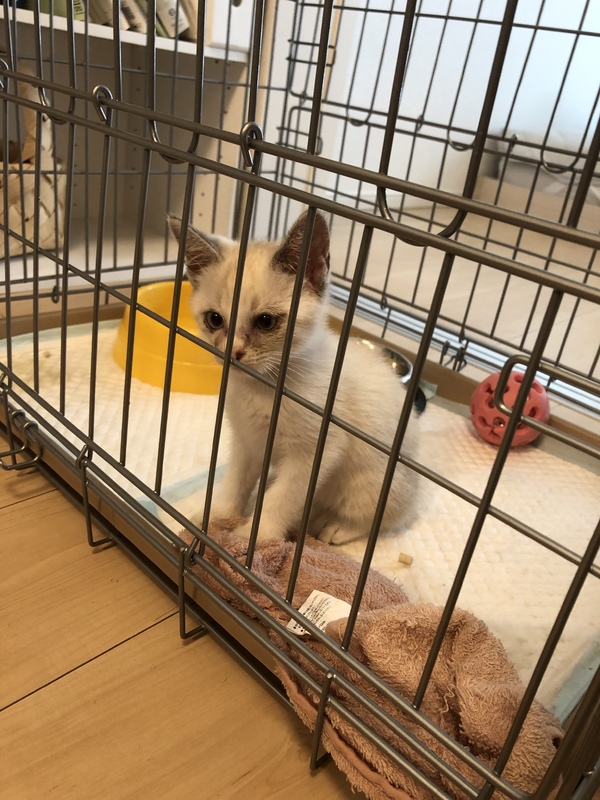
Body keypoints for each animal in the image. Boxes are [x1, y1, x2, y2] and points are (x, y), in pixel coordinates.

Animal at [168, 210, 418, 545]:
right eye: (214, 319)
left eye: (265, 321)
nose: (232, 353)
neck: (263, 387)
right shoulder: (246, 439)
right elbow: (236, 480)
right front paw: (219, 515)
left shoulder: (314, 454)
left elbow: (283, 498)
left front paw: (255, 539)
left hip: (371, 484)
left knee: (379, 518)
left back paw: (336, 527)